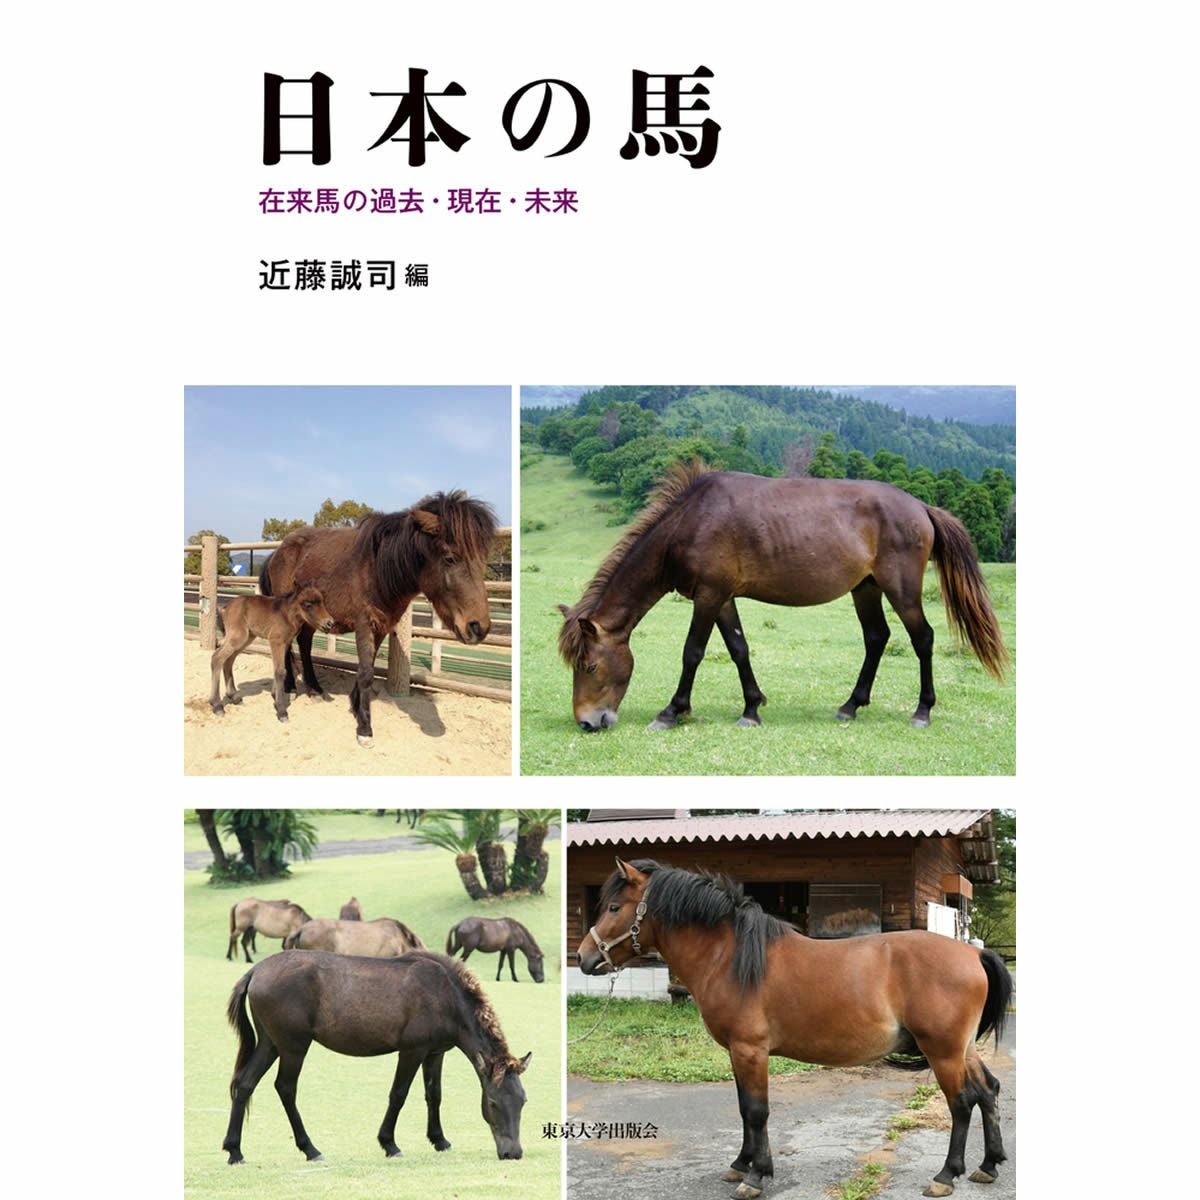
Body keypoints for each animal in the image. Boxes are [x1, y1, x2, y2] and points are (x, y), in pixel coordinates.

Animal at [209, 583, 336, 722]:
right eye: (308, 604)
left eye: (322, 602)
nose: (330, 623)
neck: (287, 615)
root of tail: (226, 607)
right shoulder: (276, 641)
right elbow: (280, 671)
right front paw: (281, 710)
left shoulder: (285, 643)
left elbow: (279, 669)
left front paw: (275, 698)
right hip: (238, 636)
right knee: (217, 658)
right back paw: (217, 705)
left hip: (247, 638)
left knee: (228, 661)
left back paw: (234, 697)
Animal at [222, 949, 532, 1164]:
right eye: (492, 1103)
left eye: (523, 1101)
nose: (513, 1153)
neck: (444, 993)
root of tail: (256, 971)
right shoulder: (412, 1051)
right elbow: (399, 1095)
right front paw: (389, 1144)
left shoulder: (435, 1053)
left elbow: (434, 1095)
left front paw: (439, 1139)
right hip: (293, 1046)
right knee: (286, 1088)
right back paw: (310, 1149)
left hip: (270, 1044)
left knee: (245, 1084)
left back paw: (234, 1150)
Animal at [260, 492, 498, 746]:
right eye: (450, 558)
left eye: (482, 558)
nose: (478, 627)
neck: (377, 569)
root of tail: (276, 553)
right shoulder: (364, 624)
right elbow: (366, 672)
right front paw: (364, 727)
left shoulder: (383, 625)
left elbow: (369, 665)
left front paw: (355, 705)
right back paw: (290, 686)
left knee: (304, 644)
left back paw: (314, 689)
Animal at [558, 462, 1006, 733]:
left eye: (591, 665)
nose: (587, 722)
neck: (692, 521)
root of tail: (922, 508)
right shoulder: (722, 598)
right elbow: (738, 649)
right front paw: (752, 708)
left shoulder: (708, 596)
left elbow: (693, 652)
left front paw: (672, 711)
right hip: (866, 589)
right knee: (877, 638)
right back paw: (850, 705)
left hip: (901, 590)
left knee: (922, 639)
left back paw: (922, 711)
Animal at [577, 859, 1012, 1198]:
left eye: (614, 906)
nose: (583, 957)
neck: (730, 957)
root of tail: (972, 953)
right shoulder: (737, 1052)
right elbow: (743, 1109)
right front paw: (741, 1163)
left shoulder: (750, 1050)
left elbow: (756, 1111)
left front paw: (755, 1176)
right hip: (963, 1049)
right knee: (988, 1091)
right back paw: (988, 1165)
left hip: (943, 1052)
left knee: (961, 1104)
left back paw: (946, 1175)